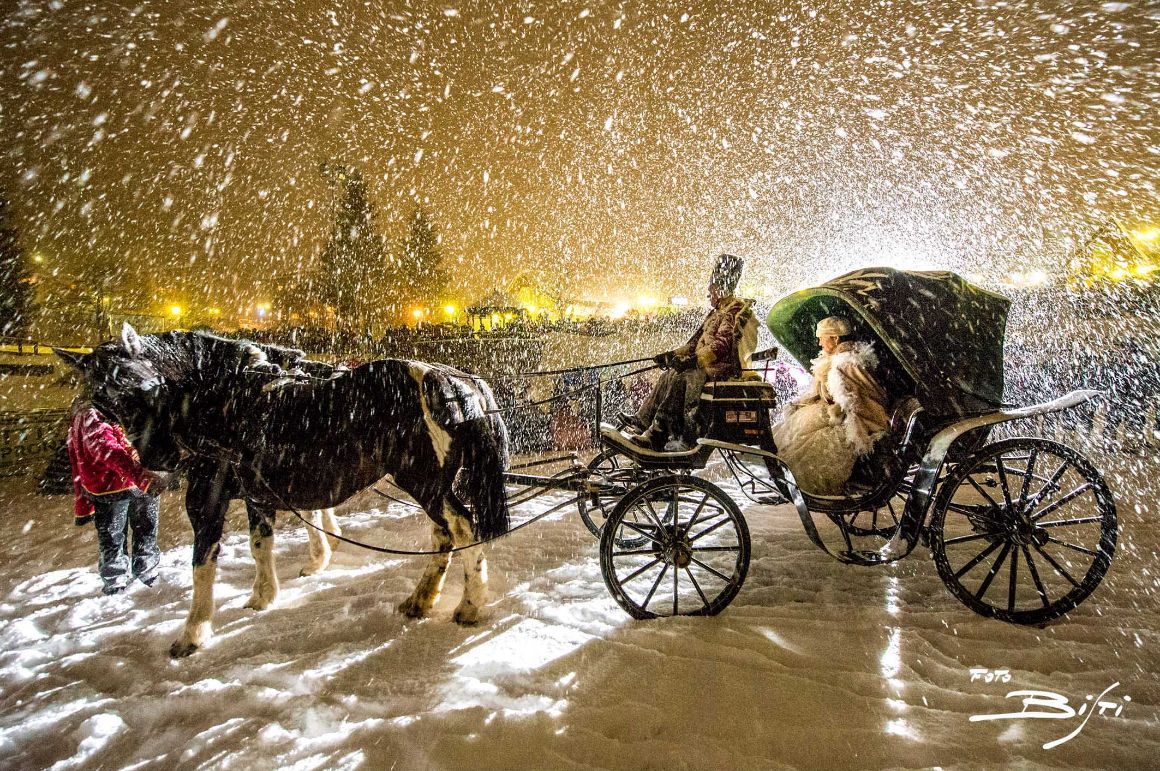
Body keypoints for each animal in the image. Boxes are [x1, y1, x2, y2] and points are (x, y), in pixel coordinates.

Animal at [55, 322, 508, 653]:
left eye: (136, 382)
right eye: (100, 394)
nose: (156, 459)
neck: (217, 401)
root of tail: (453, 378)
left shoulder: (207, 496)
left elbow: (203, 564)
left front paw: (193, 633)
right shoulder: (258, 493)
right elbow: (261, 544)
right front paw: (263, 596)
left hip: (425, 480)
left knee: (463, 528)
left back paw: (469, 605)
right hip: (429, 483)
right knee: (444, 535)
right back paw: (421, 599)